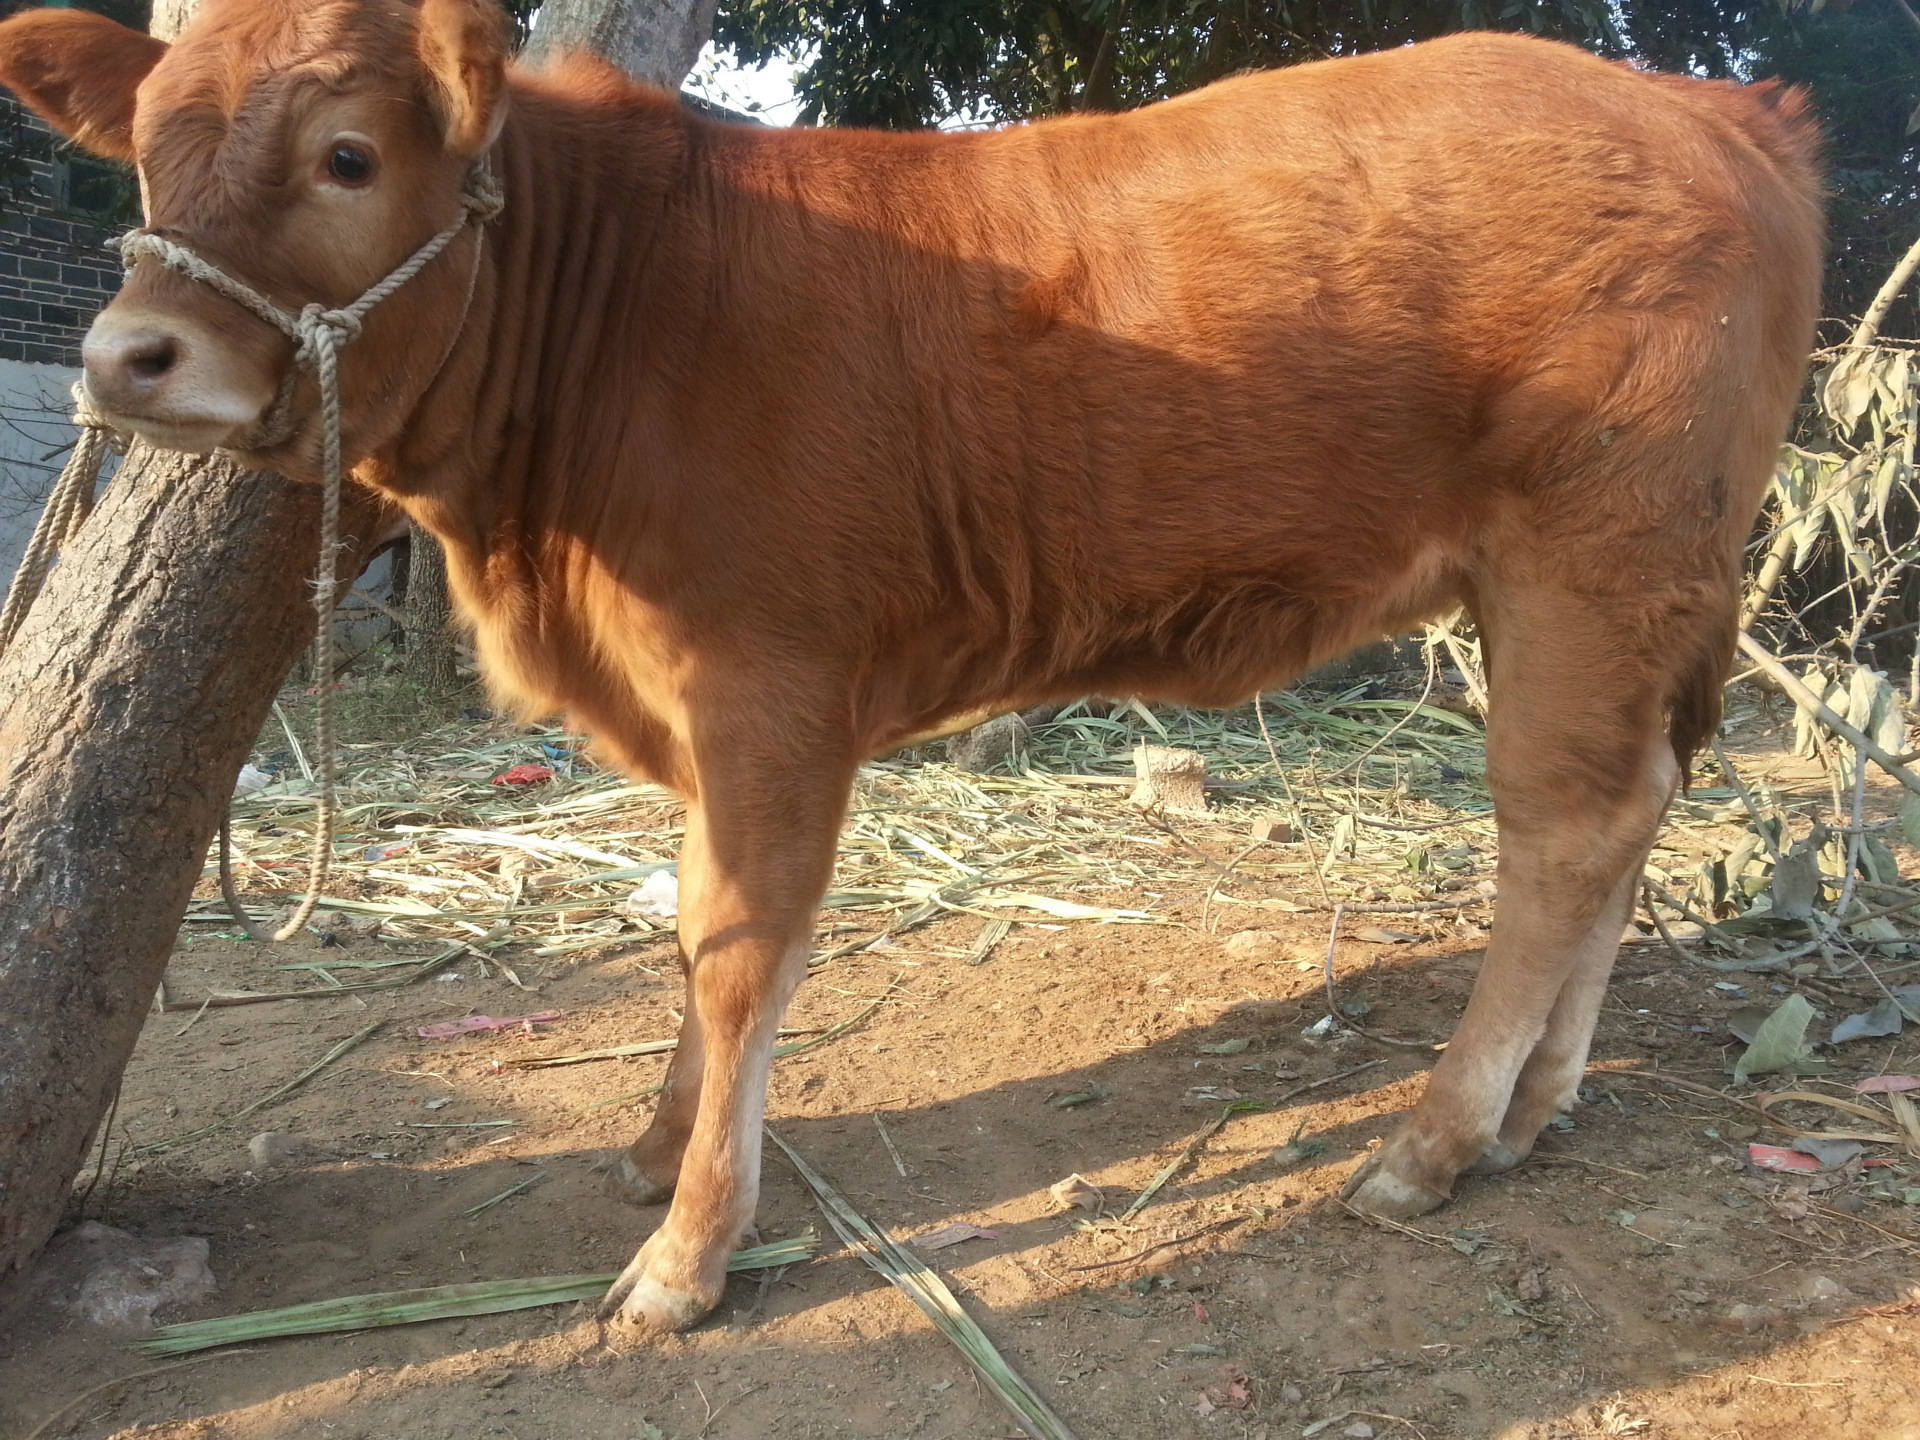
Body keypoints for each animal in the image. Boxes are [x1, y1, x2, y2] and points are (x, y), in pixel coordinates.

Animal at [0, 0, 1820, 1336]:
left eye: (348, 153)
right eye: (146, 158)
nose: (126, 356)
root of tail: (1706, 112)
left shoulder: (771, 689)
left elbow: (738, 951)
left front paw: (688, 1256)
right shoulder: (700, 709)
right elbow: (690, 932)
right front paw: (662, 1140)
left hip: (1585, 559)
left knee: (1560, 831)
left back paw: (1436, 1139)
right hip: (1621, 588)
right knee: (1634, 807)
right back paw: (1537, 1102)